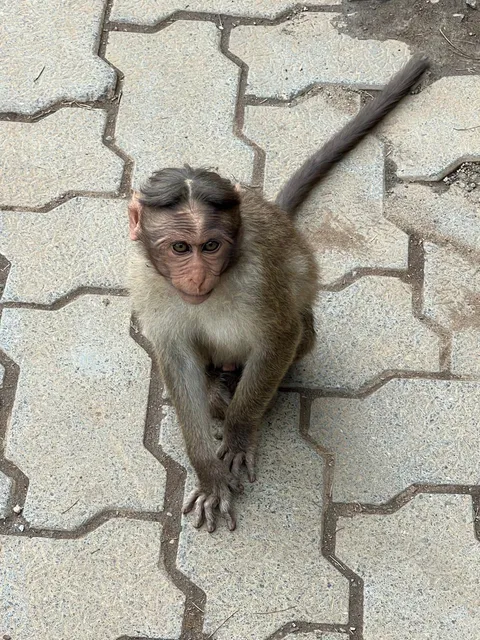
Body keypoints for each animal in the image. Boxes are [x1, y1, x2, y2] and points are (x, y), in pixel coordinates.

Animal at [127, 56, 429, 532]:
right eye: (180, 248)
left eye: (210, 246)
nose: (196, 276)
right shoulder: (144, 282)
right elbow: (175, 359)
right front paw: (208, 471)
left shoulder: (258, 278)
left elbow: (280, 336)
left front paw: (238, 434)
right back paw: (217, 384)